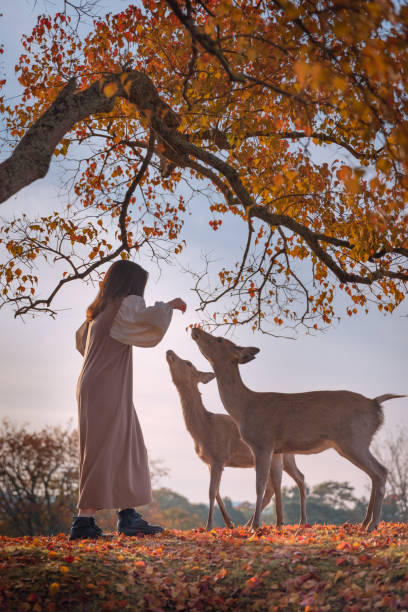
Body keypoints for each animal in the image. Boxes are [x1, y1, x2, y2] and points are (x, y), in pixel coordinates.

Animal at [166, 350, 306, 532]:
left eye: (189, 363)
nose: (169, 351)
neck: (204, 429)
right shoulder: (210, 462)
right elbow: (217, 492)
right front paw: (229, 523)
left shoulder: (219, 457)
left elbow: (211, 492)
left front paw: (208, 526)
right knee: (274, 487)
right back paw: (250, 524)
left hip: (283, 455)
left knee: (297, 478)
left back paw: (298, 522)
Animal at [192, 328, 404, 532]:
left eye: (219, 339)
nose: (195, 329)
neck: (244, 408)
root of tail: (376, 405)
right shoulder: (277, 450)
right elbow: (274, 485)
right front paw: (277, 525)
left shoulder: (262, 443)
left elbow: (260, 485)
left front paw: (254, 526)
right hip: (354, 443)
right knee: (374, 474)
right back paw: (364, 523)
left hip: (354, 439)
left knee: (380, 471)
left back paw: (372, 524)